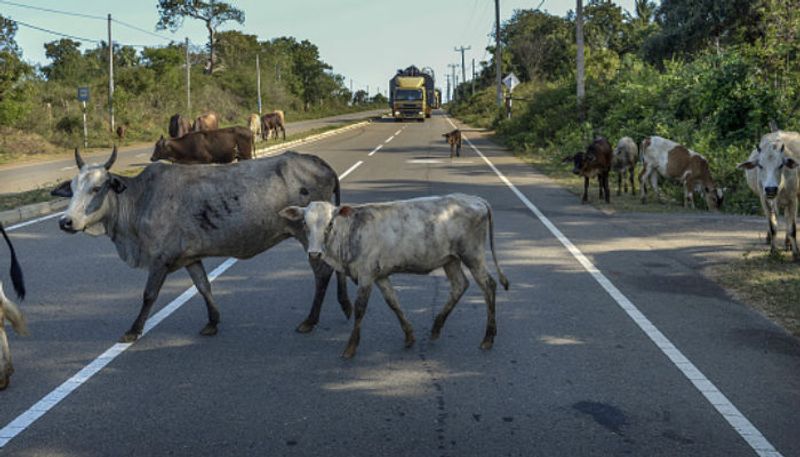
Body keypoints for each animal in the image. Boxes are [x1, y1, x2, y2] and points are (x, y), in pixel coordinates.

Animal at [49, 148, 350, 340]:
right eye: (72, 189)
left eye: (97, 188)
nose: (65, 221)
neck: (139, 199)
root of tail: (322, 164)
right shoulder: (190, 257)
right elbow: (203, 286)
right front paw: (212, 322)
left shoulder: (159, 260)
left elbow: (148, 295)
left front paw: (133, 330)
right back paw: (343, 306)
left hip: (308, 235)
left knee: (323, 273)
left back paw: (310, 320)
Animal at [278, 191, 510, 356]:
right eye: (304, 223)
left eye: (330, 223)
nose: (314, 253)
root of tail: (475, 198)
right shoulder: (380, 275)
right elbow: (393, 303)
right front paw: (409, 336)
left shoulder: (366, 275)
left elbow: (360, 309)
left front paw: (350, 347)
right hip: (450, 259)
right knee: (460, 285)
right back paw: (436, 327)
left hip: (472, 254)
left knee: (488, 285)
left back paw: (488, 338)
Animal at [736, 131, 800, 260]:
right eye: (760, 165)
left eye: (781, 165)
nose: (771, 189)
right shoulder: (764, 200)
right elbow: (773, 227)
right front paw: (773, 251)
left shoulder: (792, 200)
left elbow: (792, 228)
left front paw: (796, 254)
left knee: (788, 219)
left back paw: (788, 243)